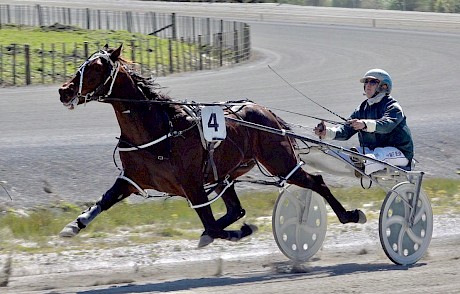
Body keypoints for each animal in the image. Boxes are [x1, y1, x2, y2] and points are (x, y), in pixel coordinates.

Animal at [58, 43, 366, 246]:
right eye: (84, 63)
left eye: (96, 67)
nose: (64, 91)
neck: (159, 130)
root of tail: (265, 110)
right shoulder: (132, 178)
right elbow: (105, 200)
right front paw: (73, 226)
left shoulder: (192, 184)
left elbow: (211, 224)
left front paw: (238, 232)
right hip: (226, 174)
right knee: (236, 209)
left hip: (279, 161)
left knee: (316, 181)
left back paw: (350, 215)